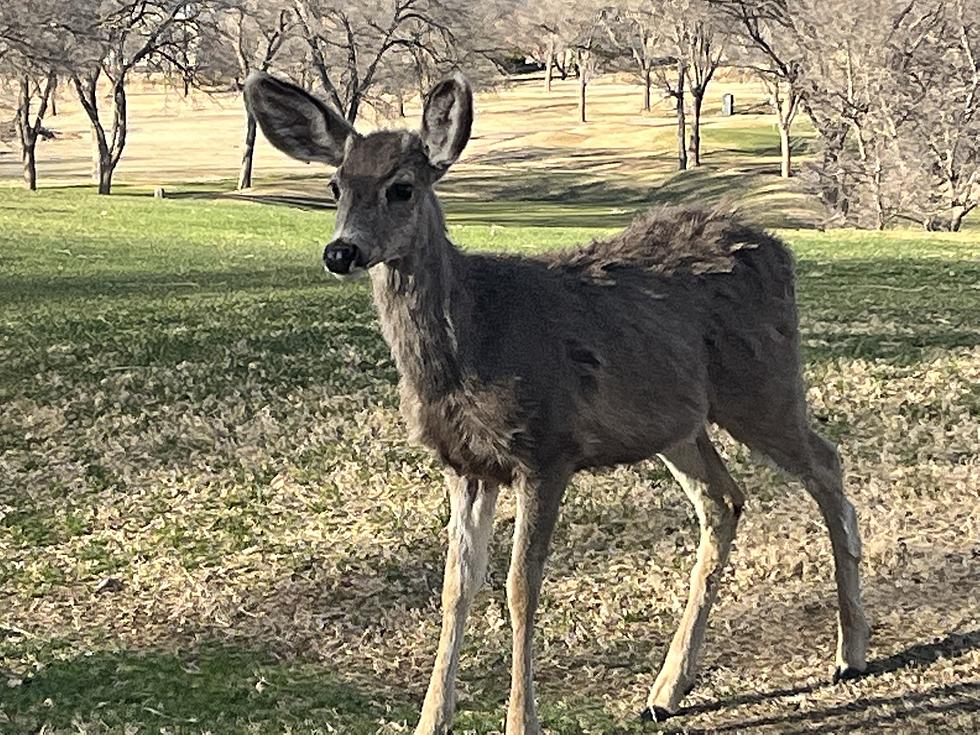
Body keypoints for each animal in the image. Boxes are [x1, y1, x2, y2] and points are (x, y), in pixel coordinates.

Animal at [241, 70, 868, 735]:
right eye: (335, 185)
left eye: (401, 188)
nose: (341, 252)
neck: (472, 339)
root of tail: (779, 251)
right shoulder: (464, 464)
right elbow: (456, 585)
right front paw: (430, 719)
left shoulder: (547, 446)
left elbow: (520, 586)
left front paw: (521, 720)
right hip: (677, 424)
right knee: (724, 500)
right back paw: (667, 688)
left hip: (762, 384)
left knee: (826, 464)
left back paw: (849, 652)